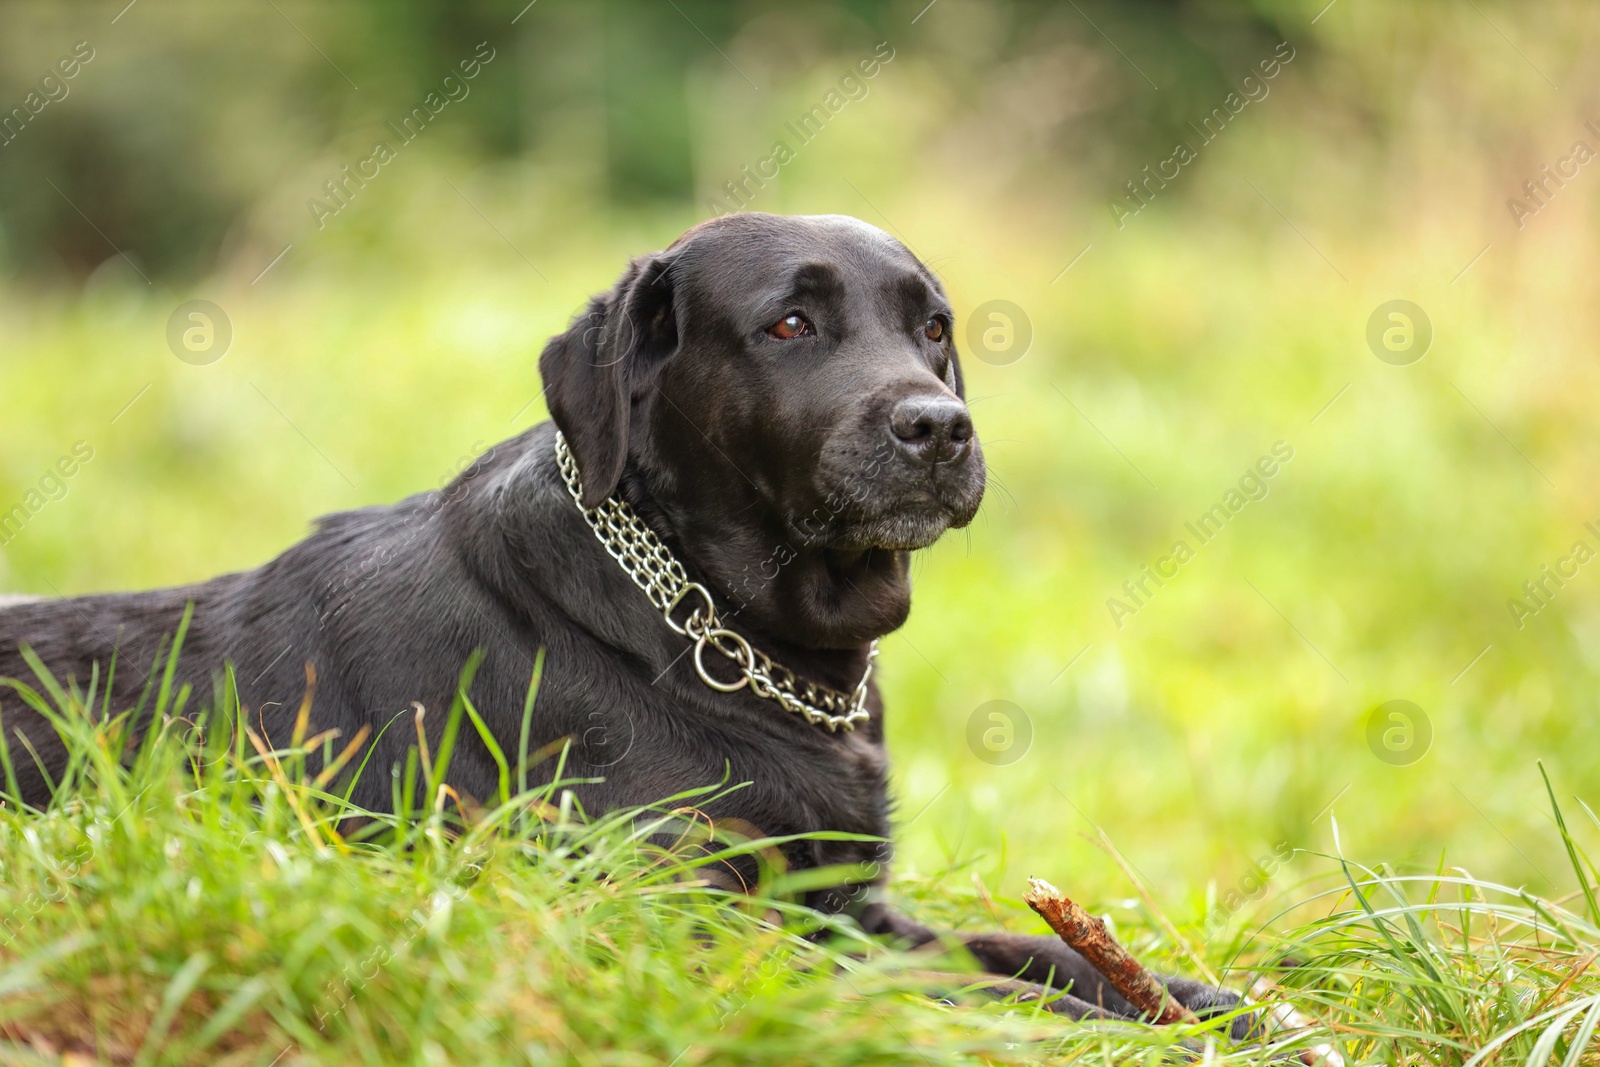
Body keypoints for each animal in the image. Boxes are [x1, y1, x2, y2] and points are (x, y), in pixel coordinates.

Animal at [0, 214, 1241, 1023]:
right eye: (789, 324)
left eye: (933, 327)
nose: (937, 425)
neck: (714, 632)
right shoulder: (700, 920)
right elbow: (966, 986)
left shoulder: (852, 903)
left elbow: (1030, 948)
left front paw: (1205, 997)